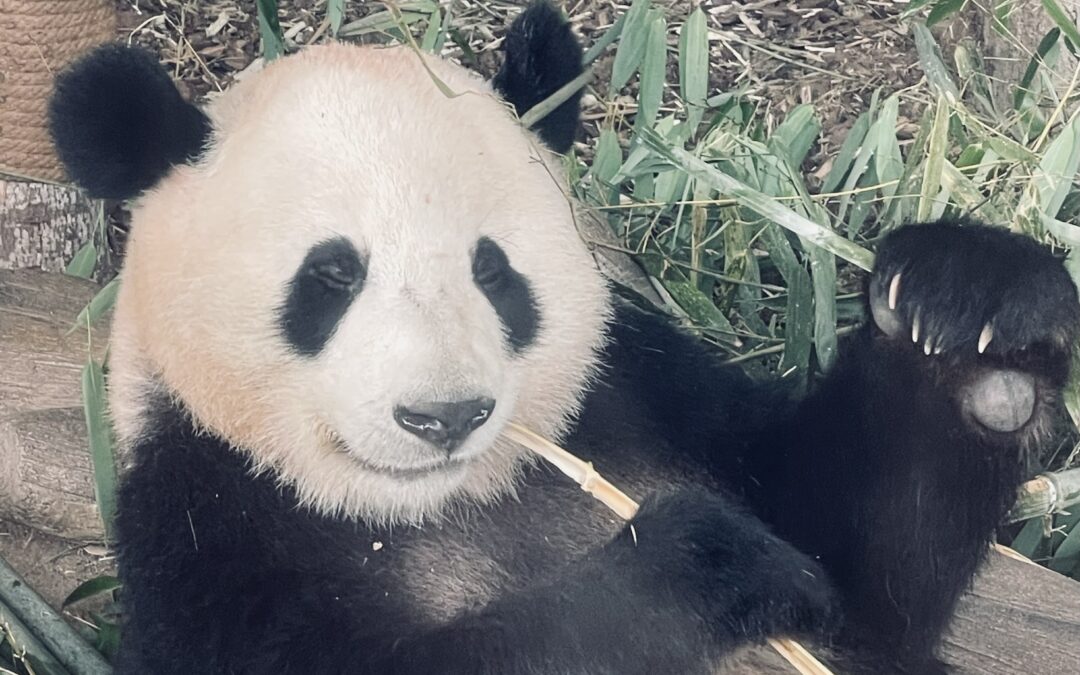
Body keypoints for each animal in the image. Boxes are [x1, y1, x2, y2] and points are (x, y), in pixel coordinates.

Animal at [47, 3, 1079, 674]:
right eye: (331, 277)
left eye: (493, 271)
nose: (445, 416)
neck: (439, 504)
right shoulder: (207, 526)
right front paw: (700, 567)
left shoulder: (640, 387)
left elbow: (862, 581)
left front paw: (974, 321)